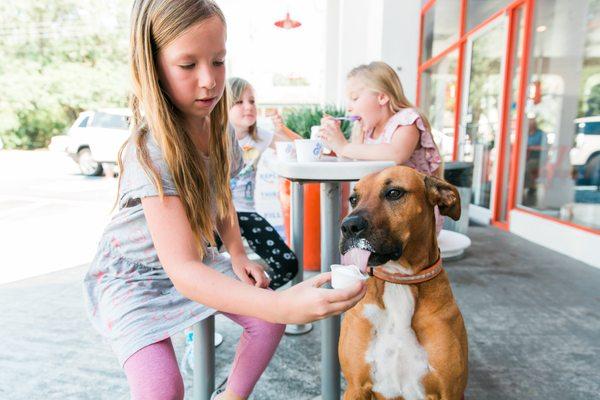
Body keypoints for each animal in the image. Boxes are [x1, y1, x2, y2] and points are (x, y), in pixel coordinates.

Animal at [338, 166, 468, 400]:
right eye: (353, 199)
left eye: (394, 193)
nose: (349, 226)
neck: (399, 281)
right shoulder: (355, 387)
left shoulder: (450, 392)